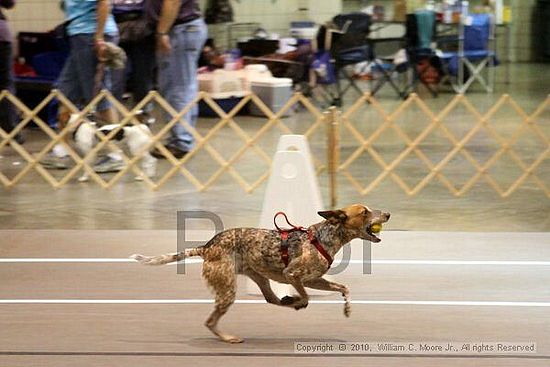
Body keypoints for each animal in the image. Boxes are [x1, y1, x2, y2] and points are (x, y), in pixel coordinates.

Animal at [130, 206, 390, 344]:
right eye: (365, 212)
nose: (387, 214)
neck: (325, 237)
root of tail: (206, 247)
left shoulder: (314, 279)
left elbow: (343, 288)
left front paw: (347, 308)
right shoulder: (293, 274)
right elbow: (305, 297)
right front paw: (298, 301)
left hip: (259, 277)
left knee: (271, 299)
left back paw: (287, 301)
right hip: (228, 289)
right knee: (210, 321)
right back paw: (228, 337)